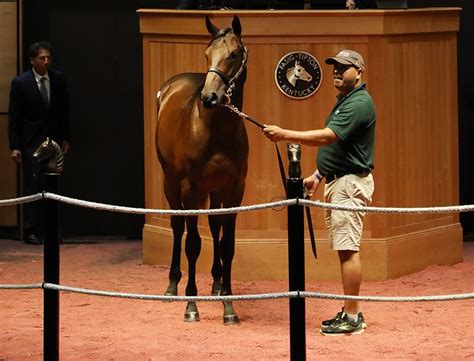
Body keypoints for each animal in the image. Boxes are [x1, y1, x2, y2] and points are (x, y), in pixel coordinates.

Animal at [156, 16, 252, 324]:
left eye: (233, 54)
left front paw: (229, 304)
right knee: (178, 228)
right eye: (207, 54)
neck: (215, 130)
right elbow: (193, 244)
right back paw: (173, 284)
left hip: (214, 191)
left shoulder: (234, 189)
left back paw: (218, 283)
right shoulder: (191, 188)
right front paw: (191, 305)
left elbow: (227, 243)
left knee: (214, 225)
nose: (209, 97)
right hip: (171, 182)